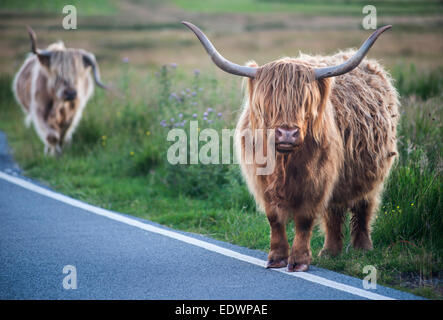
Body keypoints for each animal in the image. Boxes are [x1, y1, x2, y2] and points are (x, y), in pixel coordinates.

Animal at [182, 21, 400, 272]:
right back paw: (330, 252)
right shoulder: (262, 182)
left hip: (372, 171)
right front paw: (276, 257)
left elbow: (304, 220)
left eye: (305, 101)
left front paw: (299, 261)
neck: (284, 163)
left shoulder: (316, 182)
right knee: (334, 211)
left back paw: (362, 247)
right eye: (268, 103)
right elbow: (274, 219)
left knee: (364, 205)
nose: (287, 133)